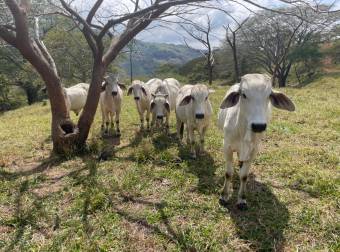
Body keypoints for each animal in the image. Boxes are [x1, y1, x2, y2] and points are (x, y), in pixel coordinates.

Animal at [218, 74, 294, 210]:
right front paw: (224, 195)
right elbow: (228, 173)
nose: (258, 126)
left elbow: (244, 176)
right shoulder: (227, 147)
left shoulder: (253, 151)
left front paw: (242, 199)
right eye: (243, 94)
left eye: (269, 95)